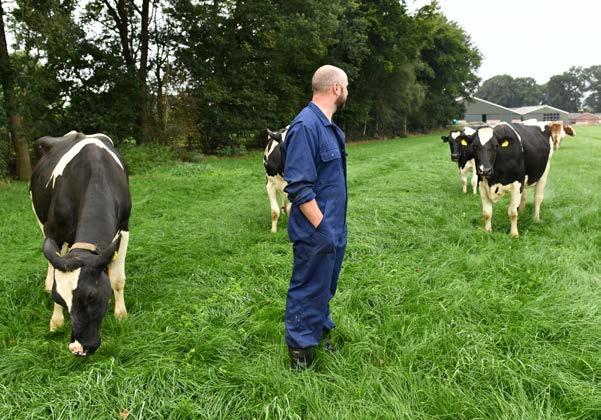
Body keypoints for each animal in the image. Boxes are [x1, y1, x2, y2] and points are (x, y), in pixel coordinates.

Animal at [29, 130, 131, 354]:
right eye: (58, 298)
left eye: (91, 296)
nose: (77, 348)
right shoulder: (53, 231)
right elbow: (55, 271)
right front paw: (56, 321)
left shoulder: (125, 227)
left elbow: (118, 279)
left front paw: (121, 314)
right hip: (41, 222)